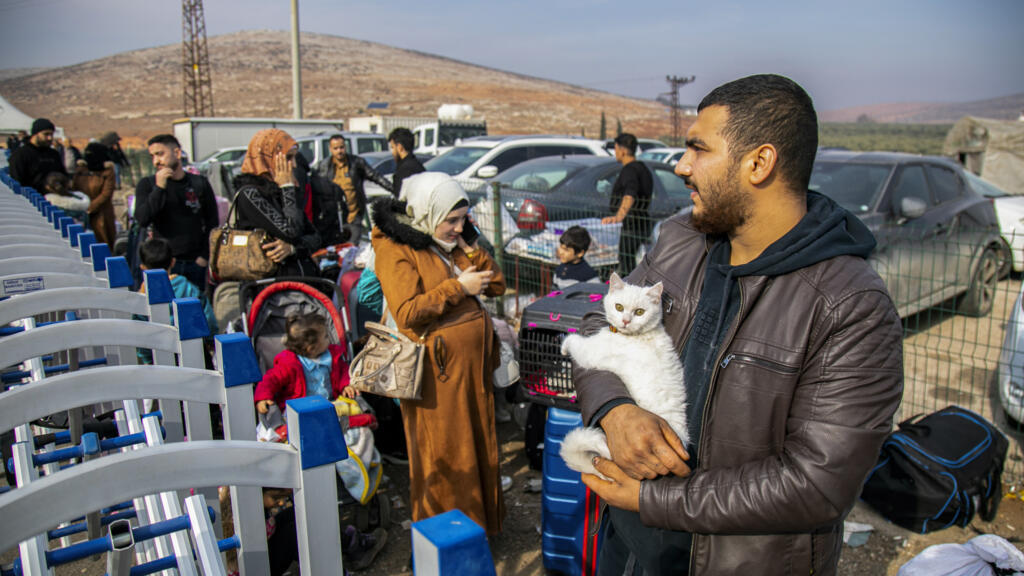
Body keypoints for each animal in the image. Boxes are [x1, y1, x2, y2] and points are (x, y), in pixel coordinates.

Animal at [561, 270, 688, 477]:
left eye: (640, 312)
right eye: (619, 307)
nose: (626, 321)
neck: (639, 336)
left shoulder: (591, 352)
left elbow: (576, 342)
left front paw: (564, 345)